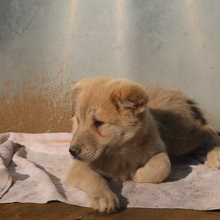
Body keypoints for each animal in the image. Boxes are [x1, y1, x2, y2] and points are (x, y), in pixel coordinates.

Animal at [66, 76, 220, 213]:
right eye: (78, 120)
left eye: (98, 123)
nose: (72, 151)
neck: (119, 151)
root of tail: (175, 93)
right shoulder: (78, 167)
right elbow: (94, 178)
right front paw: (105, 197)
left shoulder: (159, 150)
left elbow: (162, 167)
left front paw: (137, 175)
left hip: (177, 140)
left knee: (207, 129)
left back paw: (216, 156)